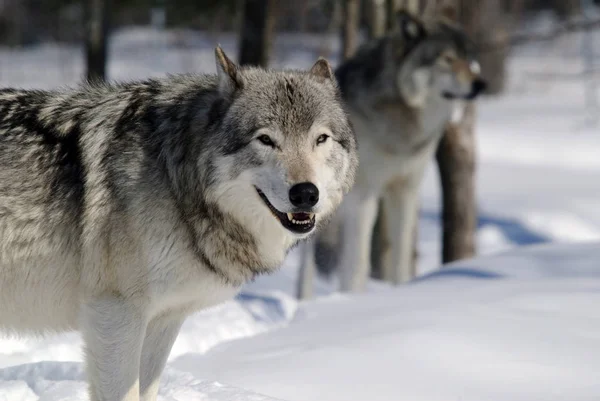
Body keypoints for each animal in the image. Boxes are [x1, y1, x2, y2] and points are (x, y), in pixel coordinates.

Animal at [0, 47, 356, 400]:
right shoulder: (115, 314)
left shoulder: (164, 319)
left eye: (321, 139)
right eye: (266, 140)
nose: (306, 194)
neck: (175, 178)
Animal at [304, 8, 488, 290]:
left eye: (470, 60)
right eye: (447, 59)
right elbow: (357, 263)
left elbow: (400, 256)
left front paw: (400, 291)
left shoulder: (404, 190)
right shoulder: (364, 195)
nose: (480, 84)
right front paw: (353, 296)